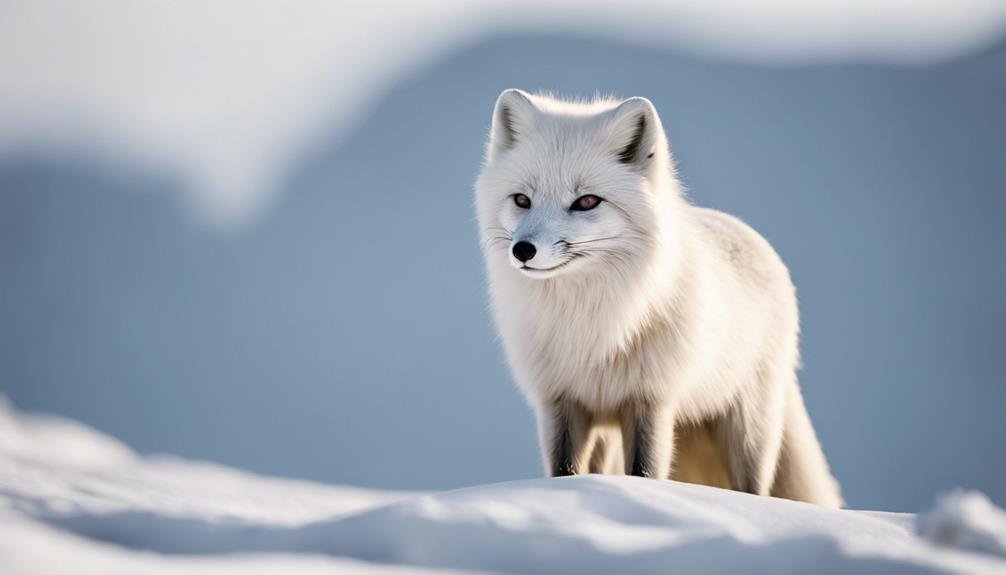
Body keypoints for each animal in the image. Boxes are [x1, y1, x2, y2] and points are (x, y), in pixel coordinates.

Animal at [474, 89, 845, 506]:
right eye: (522, 199)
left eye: (586, 202)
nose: (522, 250)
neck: (589, 323)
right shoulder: (561, 400)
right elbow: (564, 471)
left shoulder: (651, 400)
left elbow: (644, 473)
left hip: (748, 429)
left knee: (753, 490)